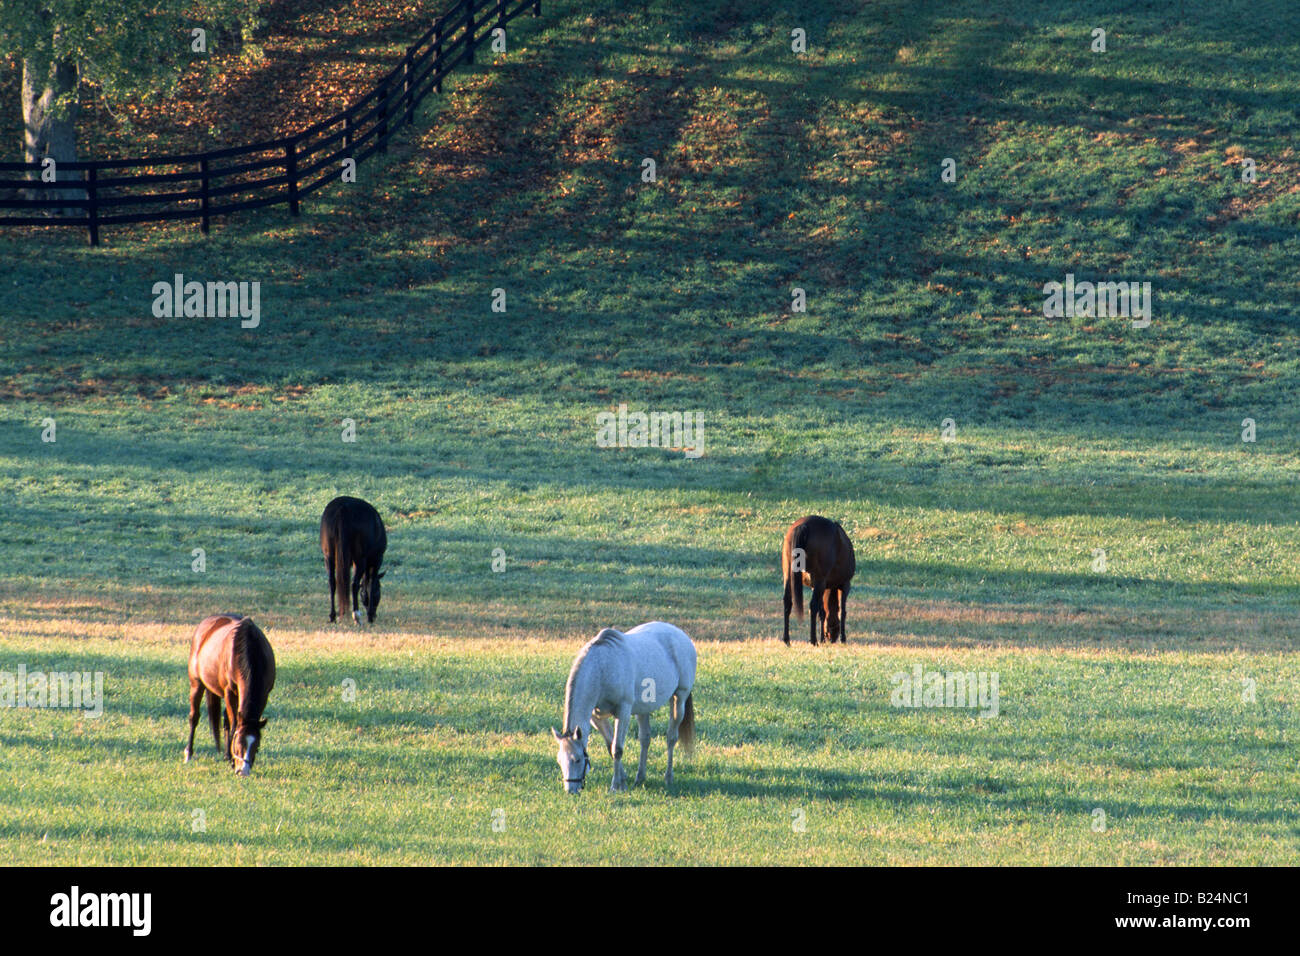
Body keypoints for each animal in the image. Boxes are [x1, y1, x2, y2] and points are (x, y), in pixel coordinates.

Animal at [184, 614, 276, 776]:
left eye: (257, 746)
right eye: (238, 743)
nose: (243, 771)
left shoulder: (264, 694)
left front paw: (230, 757)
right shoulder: (229, 692)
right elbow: (233, 726)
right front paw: (233, 761)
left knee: (226, 719)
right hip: (196, 684)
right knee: (194, 717)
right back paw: (189, 753)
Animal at [320, 496, 387, 624]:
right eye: (379, 591)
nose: (374, 614)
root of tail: (343, 508)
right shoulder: (376, 561)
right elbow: (370, 585)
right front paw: (369, 616)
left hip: (329, 558)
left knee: (332, 582)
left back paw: (332, 616)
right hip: (360, 559)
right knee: (354, 584)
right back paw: (356, 616)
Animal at [552, 621, 696, 794]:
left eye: (578, 759)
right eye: (559, 760)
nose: (570, 790)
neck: (603, 668)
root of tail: (681, 634)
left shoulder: (623, 712)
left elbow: (617, 749)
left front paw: (615, 786)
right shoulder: (595, 717)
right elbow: (610, 745)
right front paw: (623, 780)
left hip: (679, 699)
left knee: (671, 738)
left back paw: (668, 777)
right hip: (643, 709)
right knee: (645, 739)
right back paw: (640, 778)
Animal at [782, 515, 855, 646]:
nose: (832, 638)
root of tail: (804, 526)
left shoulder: (818, 586)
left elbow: (822, 612)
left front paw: (822, 638)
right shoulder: (845, 584)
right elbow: (842, 611)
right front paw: (843, 639)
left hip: (788, 576)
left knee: (787, 602)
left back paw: (787, 640)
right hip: (820, 580)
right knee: (812, 606)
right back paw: (813, 640)